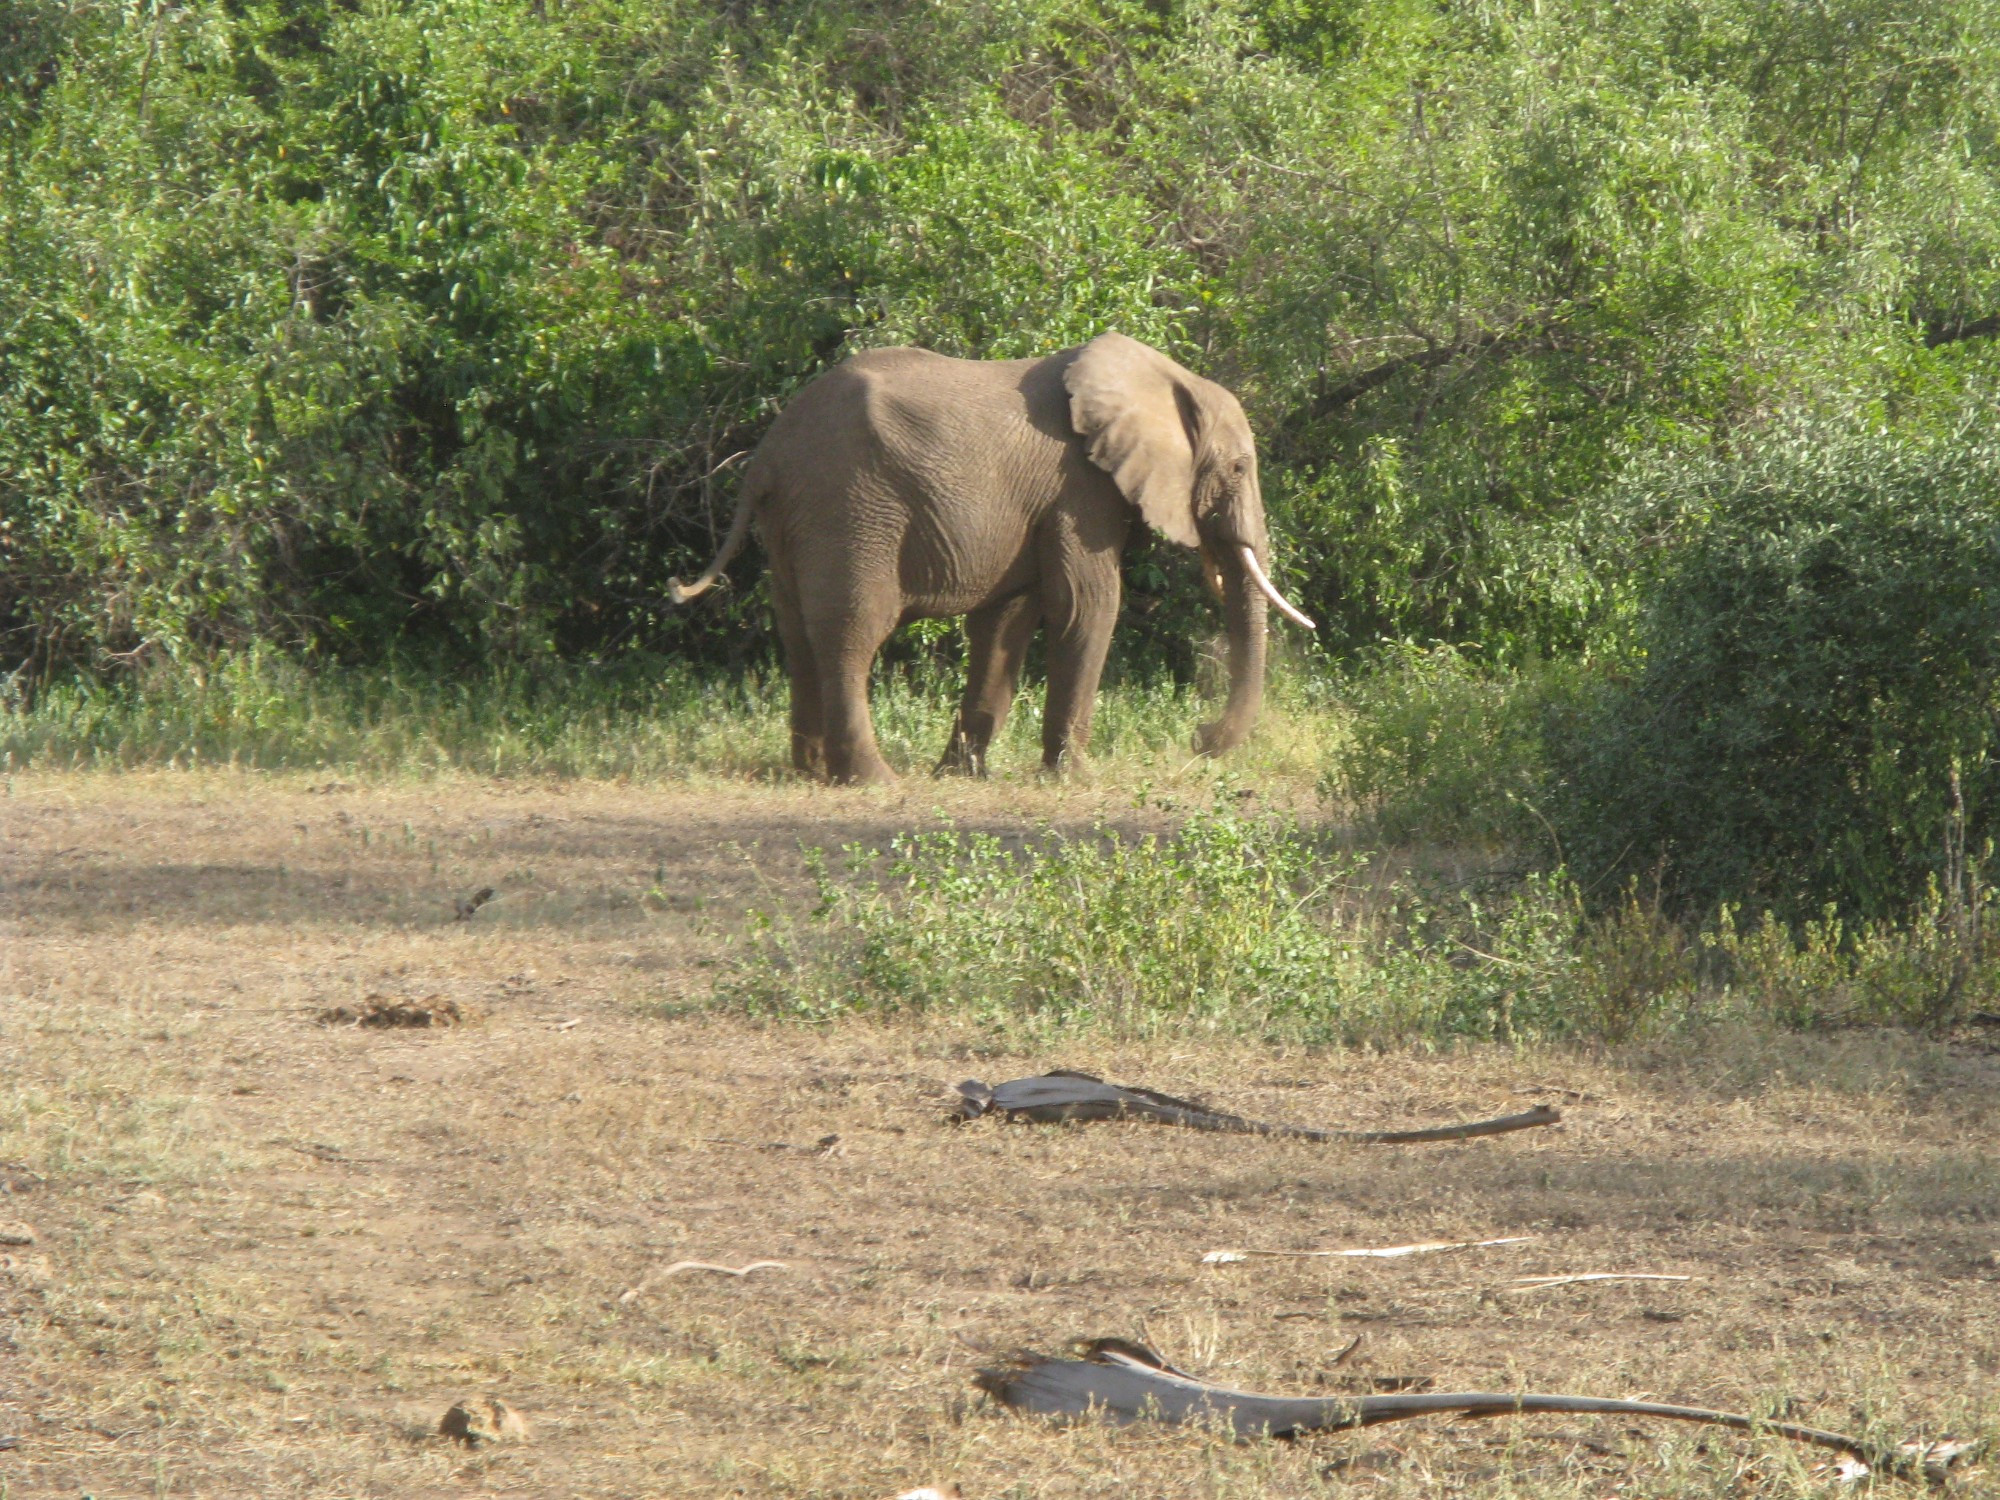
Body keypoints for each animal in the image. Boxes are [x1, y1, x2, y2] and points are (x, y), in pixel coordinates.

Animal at [672, 334, 1320, 788]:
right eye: (1239, 467)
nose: (1200, 738)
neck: (1167, 379)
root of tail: (766, 457)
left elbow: (1005, 623)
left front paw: (964, 774)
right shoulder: (1079, 491)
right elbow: (1087, 606)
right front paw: (1073, 779)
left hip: (795, 521)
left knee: (797, 633)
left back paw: (810, 772)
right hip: (850, 510)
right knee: (852, 632)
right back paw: (872, 782)